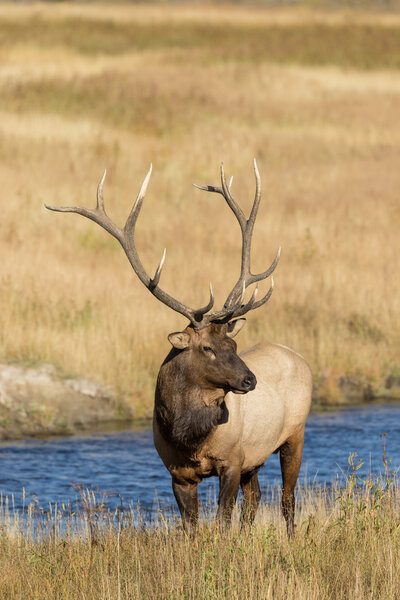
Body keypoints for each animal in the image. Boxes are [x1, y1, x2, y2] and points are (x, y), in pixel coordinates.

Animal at [45, 161, 310, 540]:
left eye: (233, 344)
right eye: (207, 347)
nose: (249, 380)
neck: (189, 438)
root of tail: (297, 356)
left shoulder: (232, 460)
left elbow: (222, 522)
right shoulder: (178, 472)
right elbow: (191, 528)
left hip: (295, 434)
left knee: (287, 497)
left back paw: (290, 540)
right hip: (256, 458)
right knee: (256, 497)